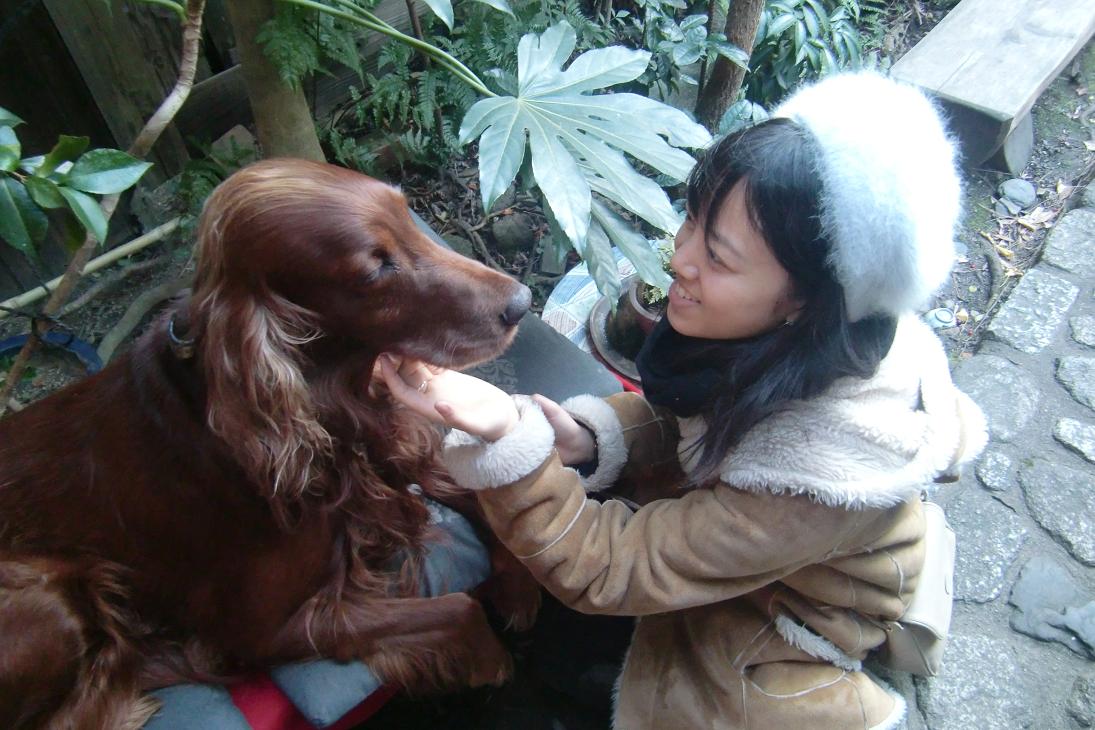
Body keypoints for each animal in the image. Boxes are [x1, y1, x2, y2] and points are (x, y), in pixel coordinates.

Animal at [0, 159, 538, 729]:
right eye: (373, 270)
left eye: (408, 215)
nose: (521, 303)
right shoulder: (260, 632)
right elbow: (457, 610)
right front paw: (492, 659)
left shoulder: (387, 456)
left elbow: (485, 496)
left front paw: (520, 582)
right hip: (51, 594)